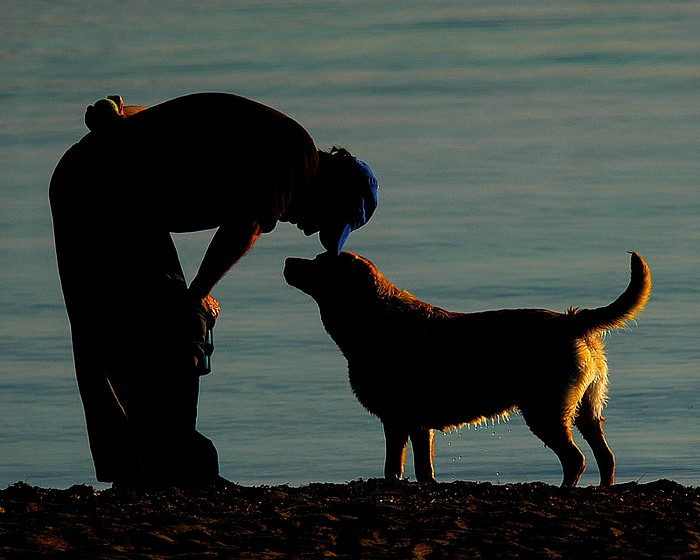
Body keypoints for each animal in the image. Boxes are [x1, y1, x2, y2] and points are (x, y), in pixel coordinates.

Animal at [284, 252, 652, 488]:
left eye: (319, 262)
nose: (288, 261)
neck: (372, 318)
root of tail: (572, 320)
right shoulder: (418, 425)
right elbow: (421, 469)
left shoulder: (397, 419)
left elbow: (393, 467)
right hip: (586, 408)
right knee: (605, 456)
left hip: (545, 411)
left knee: (575, 459)